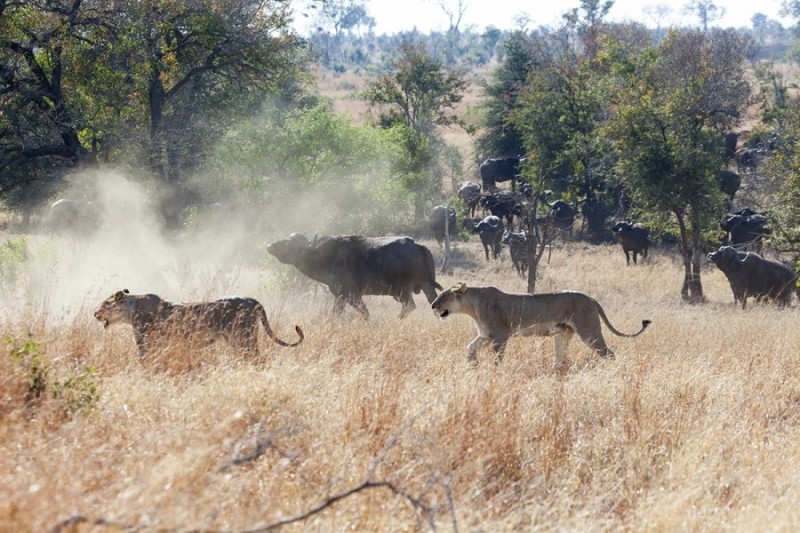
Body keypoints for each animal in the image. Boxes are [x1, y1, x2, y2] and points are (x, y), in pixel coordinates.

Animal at [268, 235, 444, 318]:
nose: (270, 245)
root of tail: (418, 245)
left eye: (289, 243)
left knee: (409, 307)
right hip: (427, 285)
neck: (325, 256)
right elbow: (336, 313)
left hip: (403, 289)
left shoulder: (350, 294)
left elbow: (364, 312)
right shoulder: (340, 296)